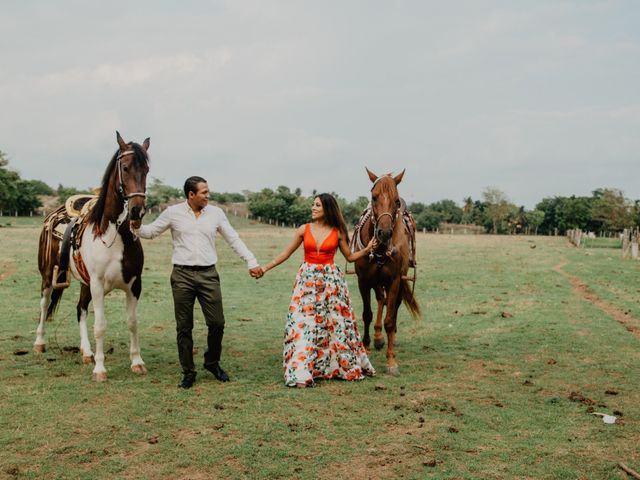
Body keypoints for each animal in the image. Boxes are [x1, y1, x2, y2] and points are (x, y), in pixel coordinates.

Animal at [35, 130, 150, 378]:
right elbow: (100, 325)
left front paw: (137, 362)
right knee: (44, 304)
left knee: (80, 309)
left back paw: (86, 352)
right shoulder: (97, 285)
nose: (137, 210)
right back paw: (39, 342)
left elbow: (132, 322)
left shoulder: (134, 285)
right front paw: (100, 369)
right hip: (48, 275)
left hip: (84, 283)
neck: (113, 235)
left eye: (146, 169)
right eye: (125, 167)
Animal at [352, 169, 418, 376]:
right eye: (374, 197)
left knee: (392, 308)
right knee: (381, 300)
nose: (384, 233)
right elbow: (367, 314)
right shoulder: (364, 281)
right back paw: (378, 337)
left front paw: (391, 361)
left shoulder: (395, 280)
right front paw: (366, 346)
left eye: (396, 200)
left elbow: (390, 319)